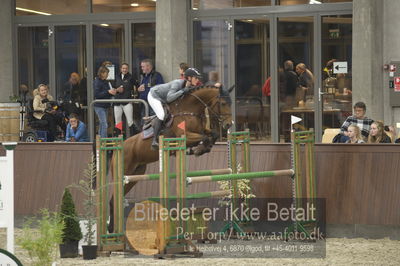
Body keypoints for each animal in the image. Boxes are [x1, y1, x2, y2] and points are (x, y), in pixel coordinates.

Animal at [108, 85, 233, 233]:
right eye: (223, 103)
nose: (229, 125)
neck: (190, 109)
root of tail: (118, 148)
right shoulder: (186, 136)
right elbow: (204, 137)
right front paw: (198, 150)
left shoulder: (201, 131)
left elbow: (212, 135)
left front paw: (200, 149)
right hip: (123, 173)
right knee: (114, 199)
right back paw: (111, 230)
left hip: (135, 175)